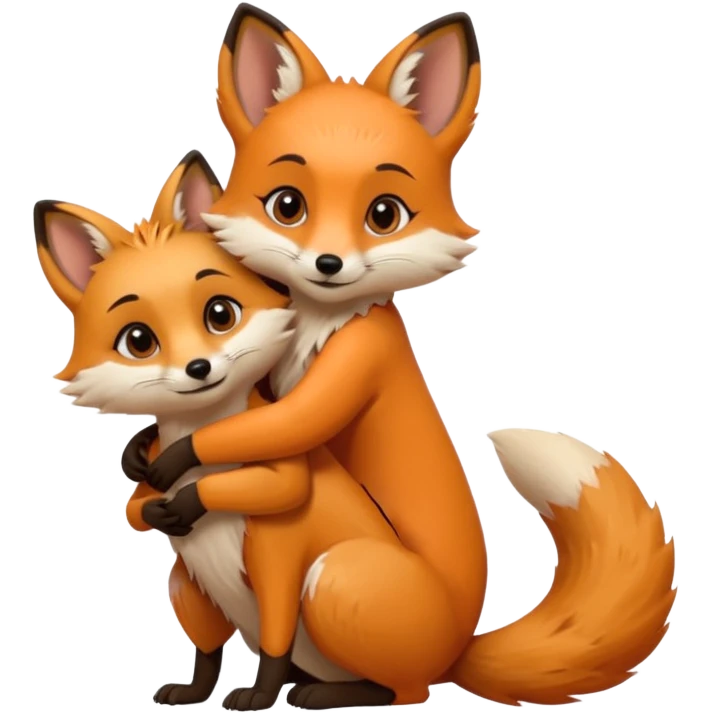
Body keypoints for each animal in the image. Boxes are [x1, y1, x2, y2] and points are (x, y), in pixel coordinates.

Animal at [33, 150, 419, 711]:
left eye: (220, 314)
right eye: (138, 340)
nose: (199, 368)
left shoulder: (276, 560)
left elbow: (284, 491)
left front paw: (258, 696)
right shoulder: (196, 573)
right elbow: (138, 515)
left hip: (333, 582)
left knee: (399, 689)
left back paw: (327, 692)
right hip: (183, 582)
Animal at [122, 5, 678, 709]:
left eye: (383, 213)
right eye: (287, 205)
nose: (328, 264)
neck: (317, 325)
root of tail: (459, 648)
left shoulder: (360, 358)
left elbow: (293, 425)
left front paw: (173, 464)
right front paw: (142, 449)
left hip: (336, 582)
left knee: (406, 692)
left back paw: (328, 693)